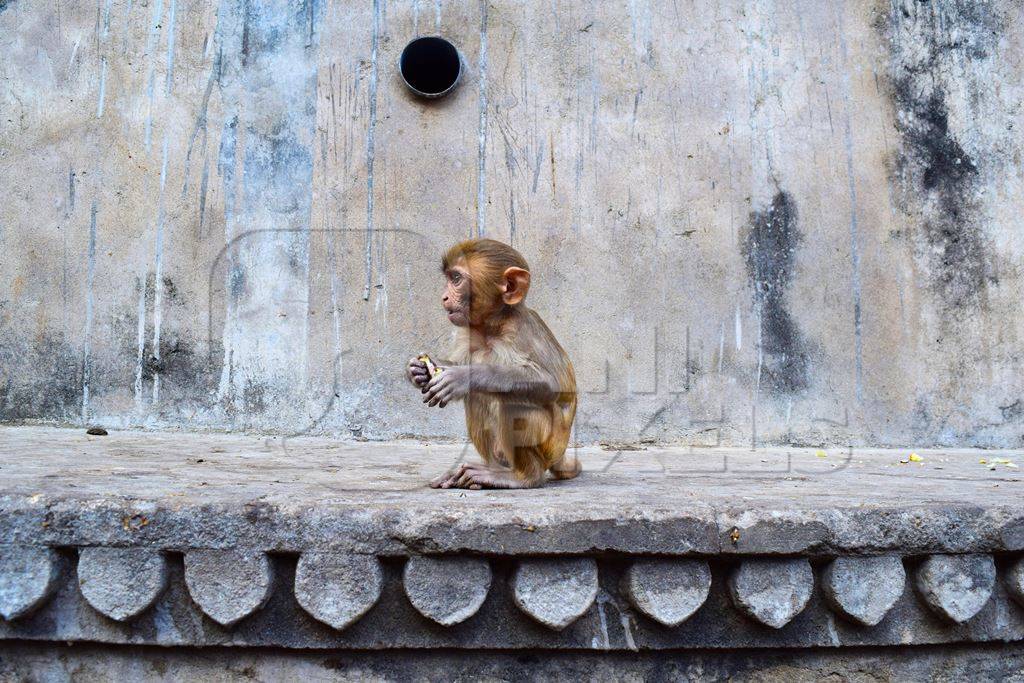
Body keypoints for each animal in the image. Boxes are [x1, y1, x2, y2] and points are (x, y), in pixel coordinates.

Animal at [409, 237, 585, 489]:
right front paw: (418, 371)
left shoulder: (520, 331)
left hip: (551, 446)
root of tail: (560, 454)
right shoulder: (468, 333)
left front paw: (463, 377)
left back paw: (522, 477)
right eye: (449, 278)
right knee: (477, 397)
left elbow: (551, 384)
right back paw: (489, 471)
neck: (491, 328)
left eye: (456, 279)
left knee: (513, 402)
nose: (443, 297)